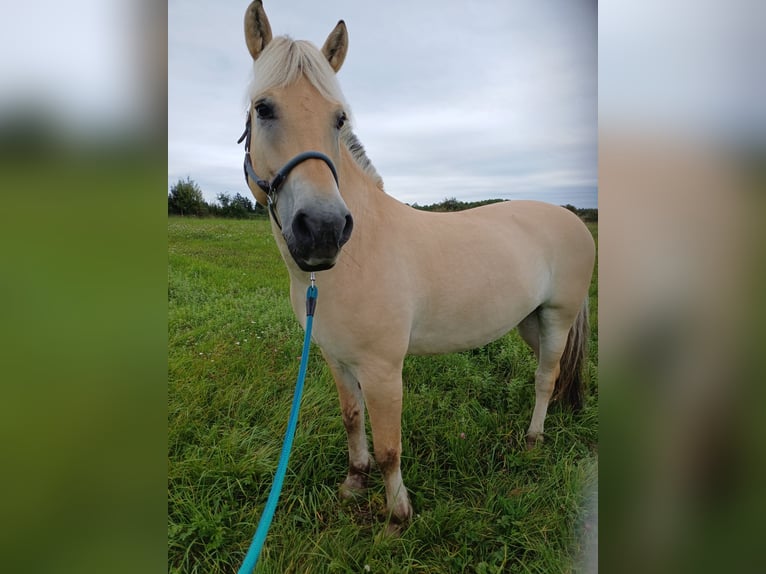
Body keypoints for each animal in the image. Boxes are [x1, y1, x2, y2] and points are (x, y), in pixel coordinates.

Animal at [239, 0, 595, 527]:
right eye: (263, 108)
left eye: (339, 119)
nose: (323, 229)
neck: (355, 257)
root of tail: (572, 217)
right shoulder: (336, 359)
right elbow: (352, 420)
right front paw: (353, 484)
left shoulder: (384, 370)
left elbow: (390, 446)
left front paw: (396, 516)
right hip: (529, 320)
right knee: (548, 374)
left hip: (558, 316)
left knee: (546, 377)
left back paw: (533, 440)